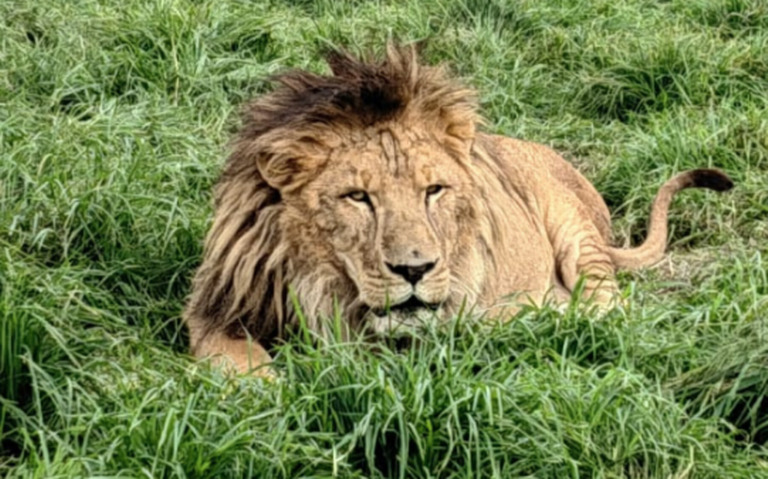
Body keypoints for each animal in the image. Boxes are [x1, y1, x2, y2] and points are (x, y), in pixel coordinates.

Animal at [183, 44, 733, 375]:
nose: (415, 269)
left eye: (434, 191)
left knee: (609, 310)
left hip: (577, 235)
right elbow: (238, 363)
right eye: (358, 197)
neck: (323, 288)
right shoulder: (218, 309)